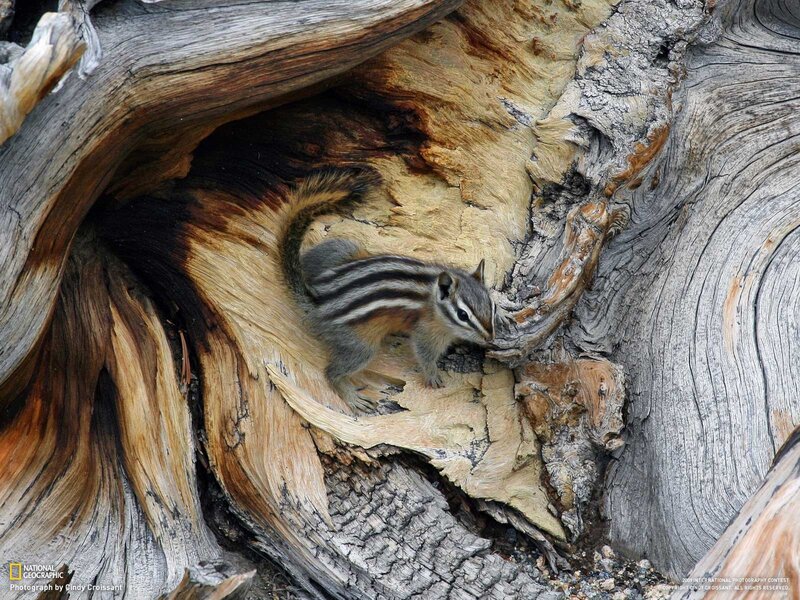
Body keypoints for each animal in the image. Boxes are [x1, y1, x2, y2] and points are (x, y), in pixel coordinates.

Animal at [279, 167, 496, 412]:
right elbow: (424, 354)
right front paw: (432, 375)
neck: (432, 299)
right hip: (360, 345)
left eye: (492, 306)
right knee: (331, 372)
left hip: (342, 249)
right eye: (462, 315)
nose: (490, 338)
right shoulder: (426, 331)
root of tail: (319, 299)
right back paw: (352, 397)